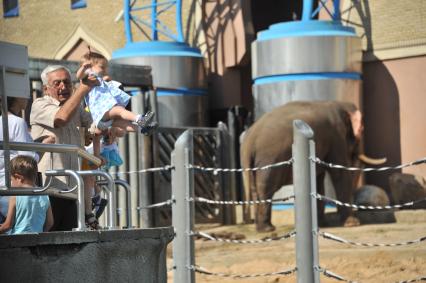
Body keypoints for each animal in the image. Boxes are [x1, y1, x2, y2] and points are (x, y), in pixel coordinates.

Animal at [241, 101, 384, 233]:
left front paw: (322, 224)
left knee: (255, 190)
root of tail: (248, 142)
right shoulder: (336, 136)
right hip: (269, 160)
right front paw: (352, 224)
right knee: (266, 189)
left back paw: (261, 229)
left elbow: (318, 179)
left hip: (255, 165)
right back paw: (267, 229)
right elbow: (339, 174)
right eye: (361, 129)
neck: (338, 104)